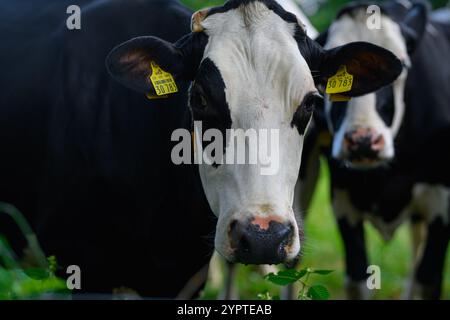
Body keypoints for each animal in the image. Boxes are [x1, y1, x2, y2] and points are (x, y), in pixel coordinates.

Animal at [316, 0, 450, 300]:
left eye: (403, 66)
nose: (363, 140)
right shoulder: (343, 201)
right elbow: (357, 280)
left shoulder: (443, 204)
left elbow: (428, 280)